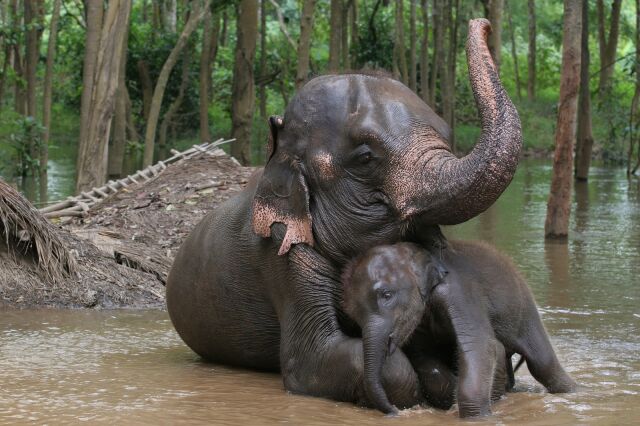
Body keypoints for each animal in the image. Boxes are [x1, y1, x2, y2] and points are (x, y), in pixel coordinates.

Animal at [342, 241, 576, 418]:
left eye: (387, 295)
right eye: (353, 315)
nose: (394, 412)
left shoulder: (459, 292)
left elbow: (480, 346)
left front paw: (476, 417)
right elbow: (427, 359)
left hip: (523, 307)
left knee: (542, 364)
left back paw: (574, 391)